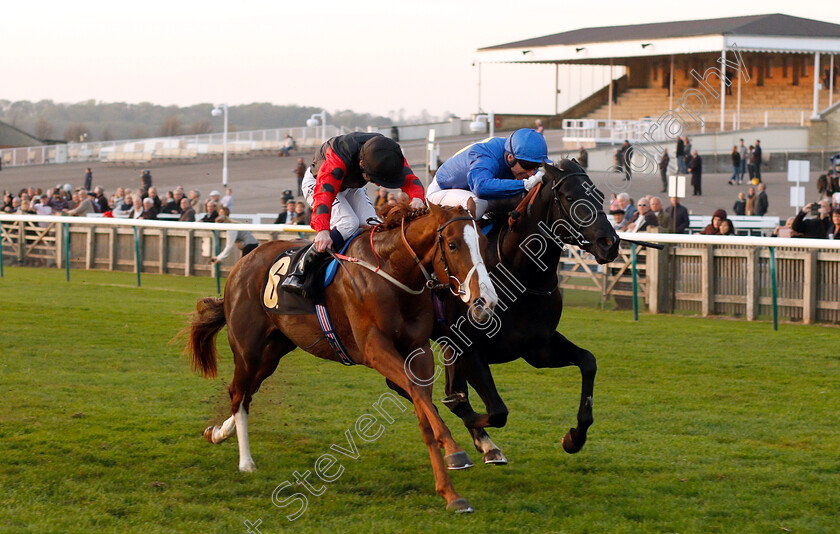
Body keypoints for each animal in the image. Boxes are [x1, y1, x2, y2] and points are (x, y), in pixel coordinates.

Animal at [184, 205, 496, 516]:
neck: (393, 272)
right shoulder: (374, 348)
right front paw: (455, 452)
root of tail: (242, 263)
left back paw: (218, 432)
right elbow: (418, 395)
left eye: (483, 243)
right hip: (248, 348)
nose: (486, 300)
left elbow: (423, 409)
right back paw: (245, 462)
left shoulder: (418, 351)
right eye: (453, 245)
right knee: (239, 392)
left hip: (275, 350)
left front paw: (450, 493)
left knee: (246, 393)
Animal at [436, 159, 620, 464]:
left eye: (600, 196)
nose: (610, 243)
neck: (519, 276)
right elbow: (491, 410)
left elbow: (588, 362)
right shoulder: (468, 348)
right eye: (570, 197)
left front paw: (574, 437)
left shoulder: (538, 348)